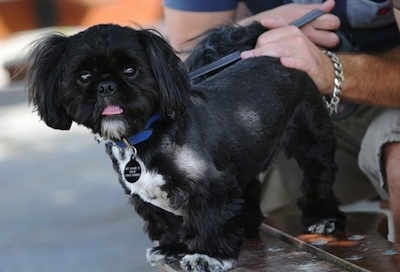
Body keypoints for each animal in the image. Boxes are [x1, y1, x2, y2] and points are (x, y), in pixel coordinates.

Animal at [21, 22, 346, 270]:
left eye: (130, 70)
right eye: (84, 76)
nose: (105, 86)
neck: (142, 136)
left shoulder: (211, 187)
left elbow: (209, 219)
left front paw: (208, 255)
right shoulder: (148, 198)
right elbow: (166, 222)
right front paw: (173, 248)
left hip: (310, 135)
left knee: (318, 175)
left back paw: (323, 217)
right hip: (245, 152)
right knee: (250, 187)